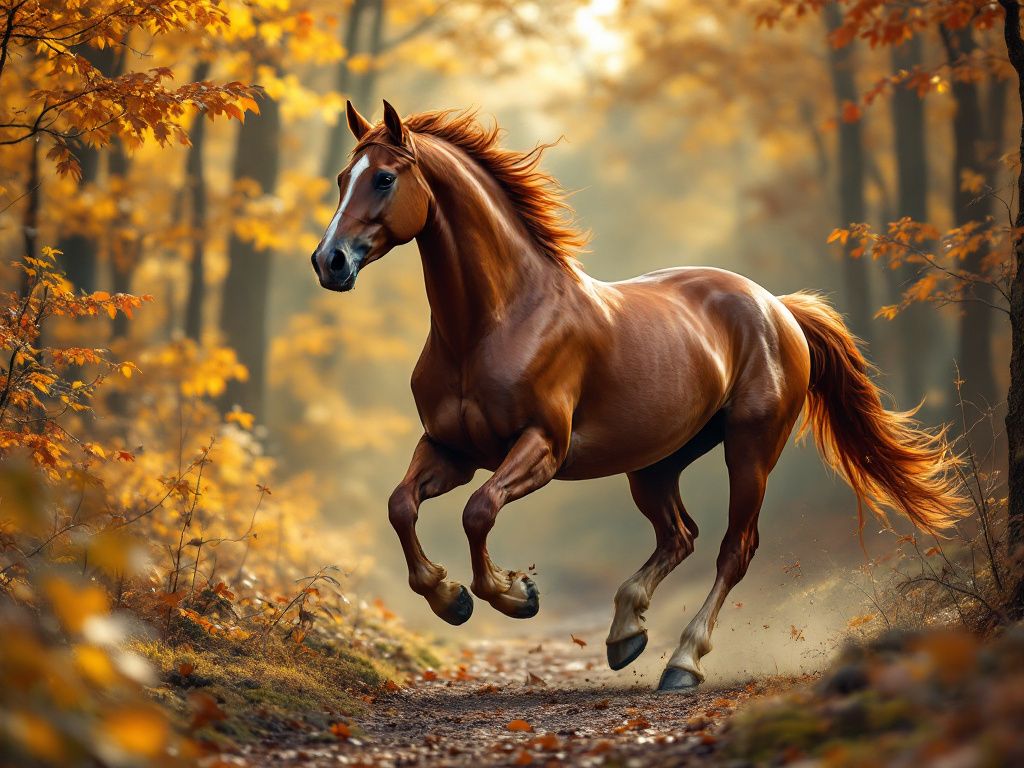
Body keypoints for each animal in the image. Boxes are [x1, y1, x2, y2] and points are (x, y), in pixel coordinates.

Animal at [311, 100, 965, 692]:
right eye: (344, 178)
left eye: (384, 177)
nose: (329, 261)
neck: (497, 320)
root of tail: (777, 307)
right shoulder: (450, 449)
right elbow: (400, 506)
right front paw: (450, 599)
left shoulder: (541, 447)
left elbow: (479, 511)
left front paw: (515, 595)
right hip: (655, 463)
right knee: (680, 535)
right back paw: (626, 633)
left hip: (751, 449)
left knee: (734, 548)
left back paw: (683, 662)